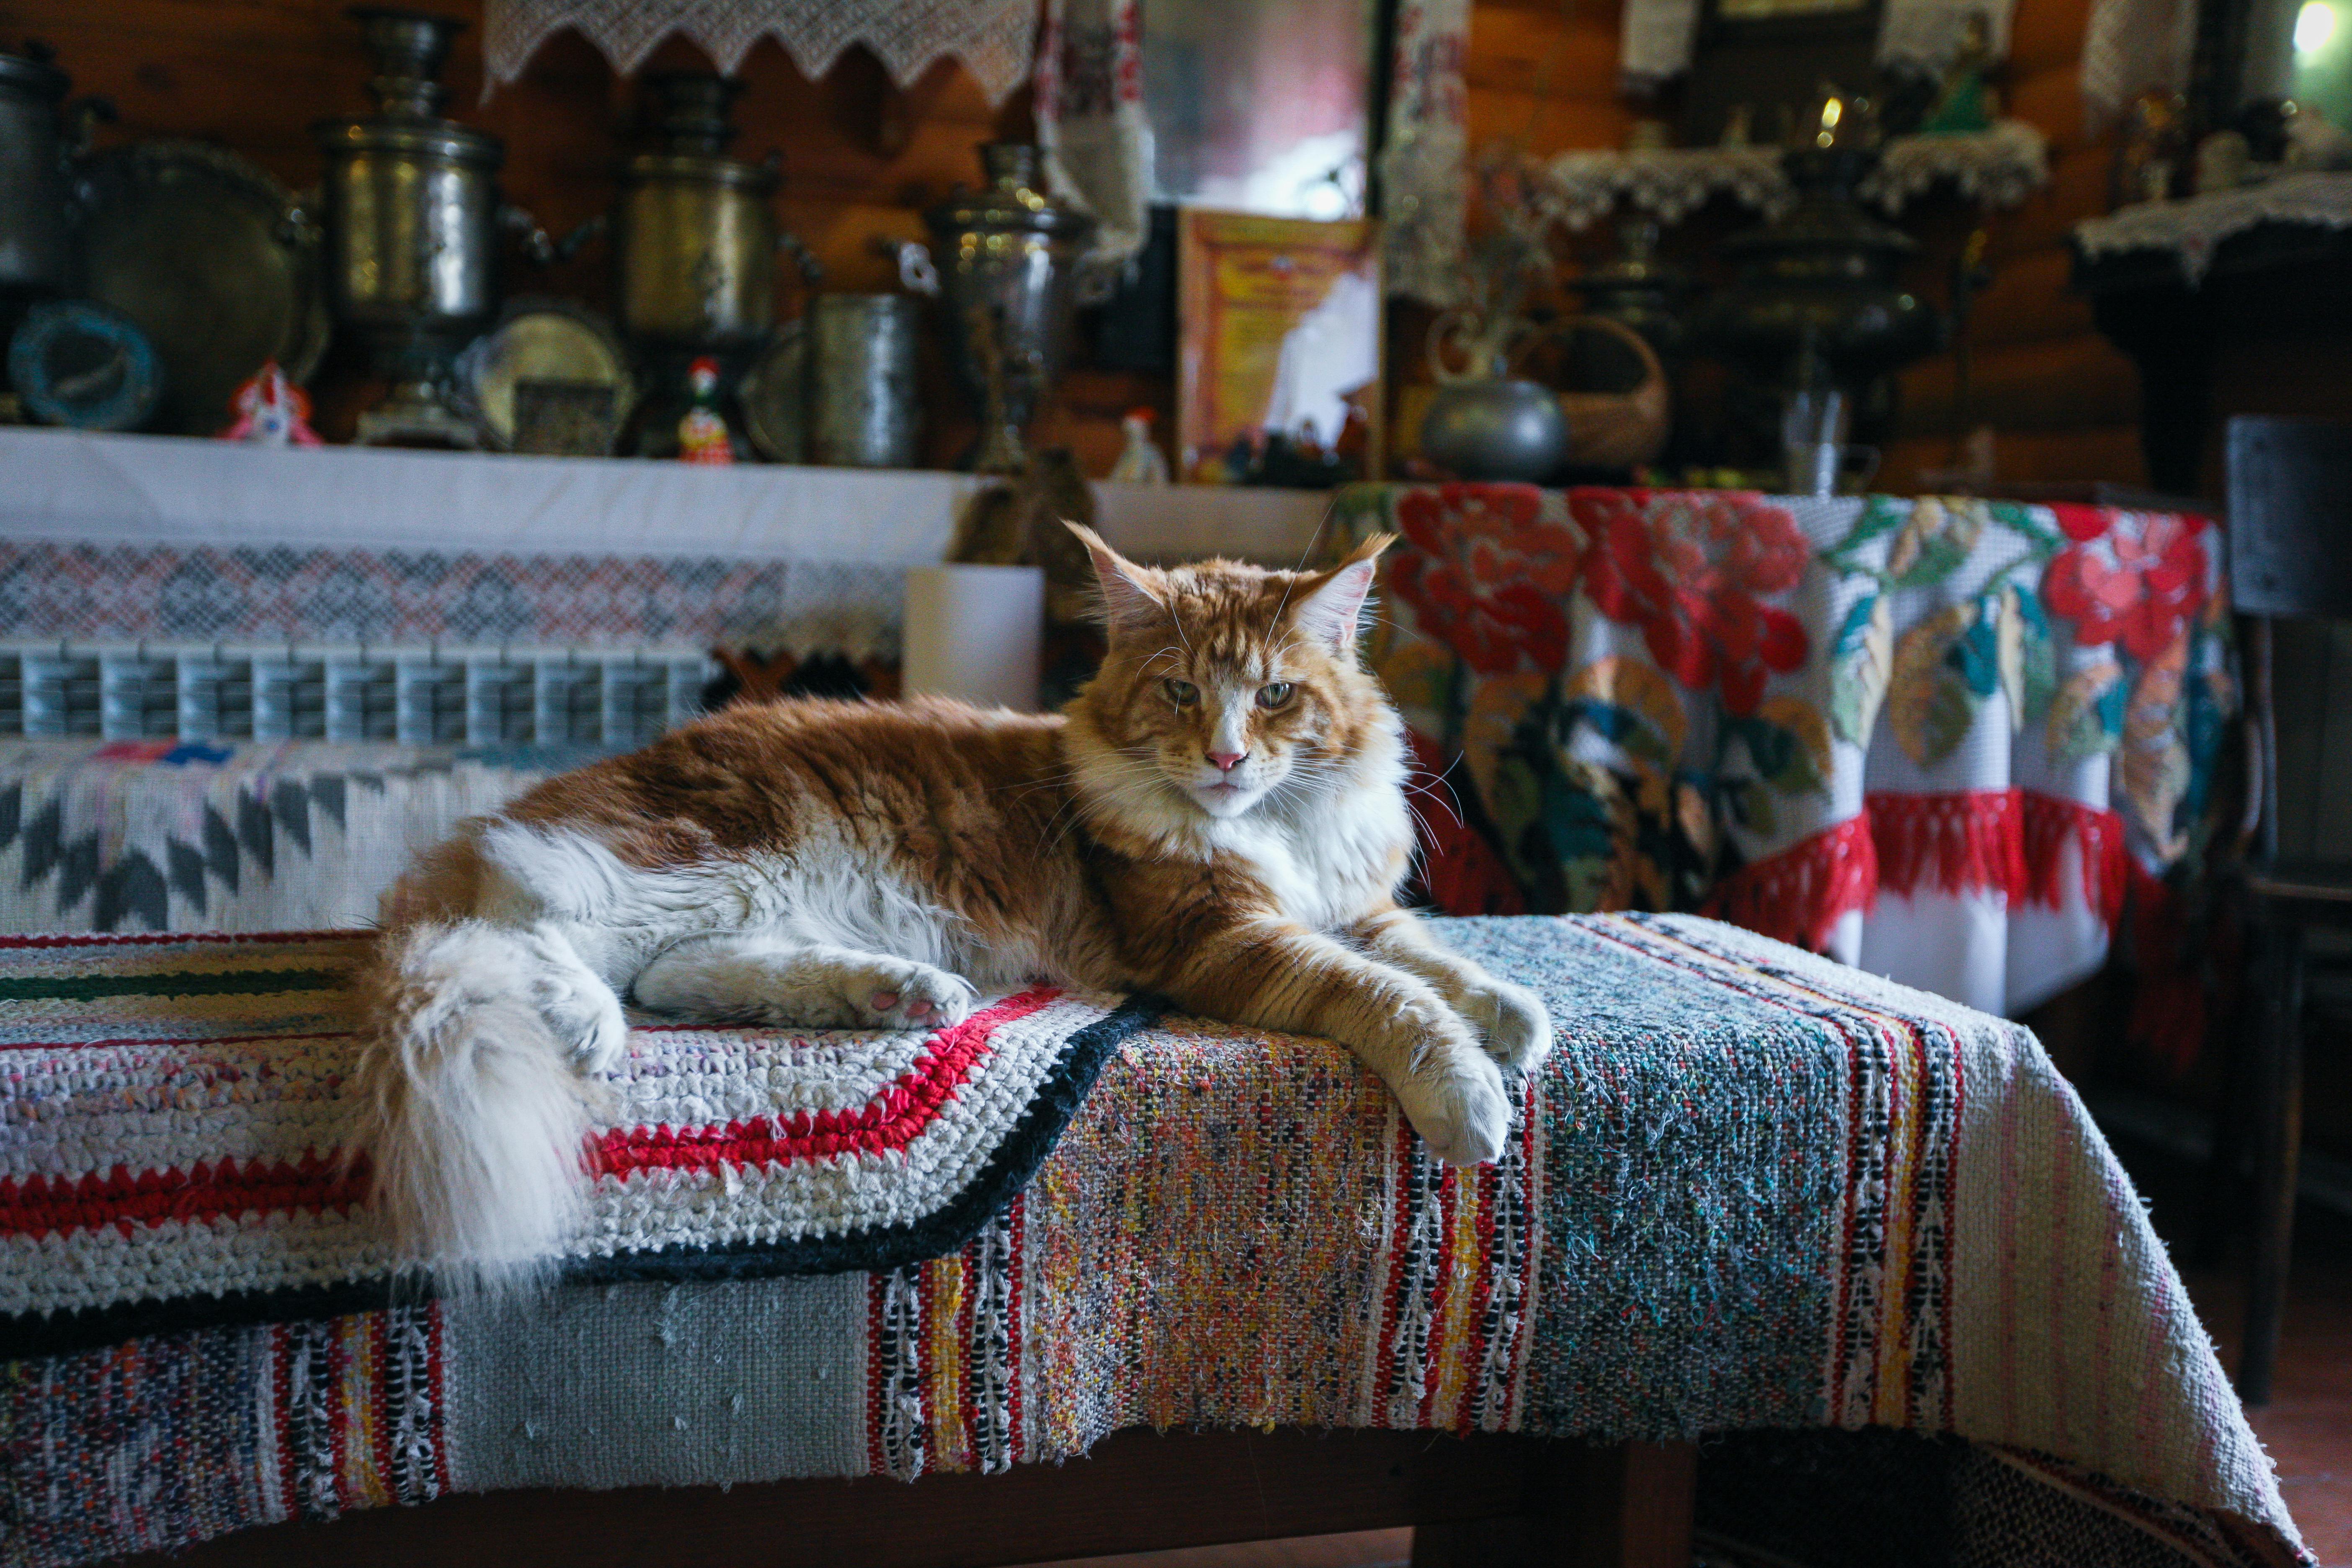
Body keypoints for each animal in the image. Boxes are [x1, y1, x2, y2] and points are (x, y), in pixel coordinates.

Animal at [353, 526, 1543, 1279]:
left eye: (1279, 694)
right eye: (1179, 693)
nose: (1225, 757)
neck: (1273, 828)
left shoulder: (1358, 903)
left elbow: (1439, 959)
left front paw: (1516, 1016)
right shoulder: (1225, 936)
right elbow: (1388, 998)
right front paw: (1469, 1095)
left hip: (740, 899)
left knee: (678, 972)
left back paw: (900, 992)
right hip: (697, 859)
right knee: (526, 915)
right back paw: (584, 1017)